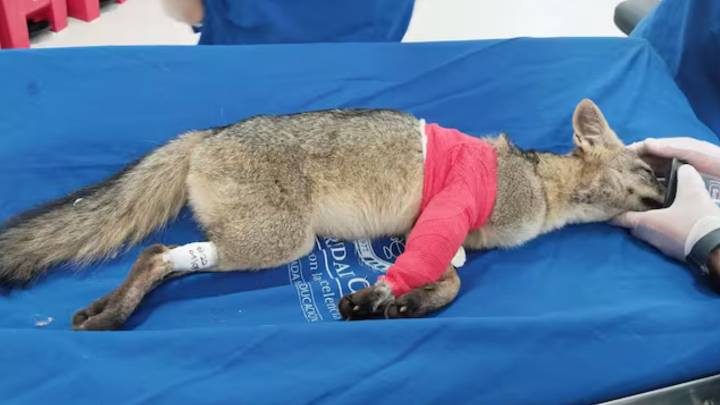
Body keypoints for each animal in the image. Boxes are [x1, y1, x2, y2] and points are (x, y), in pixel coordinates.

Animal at [0, 99, 664, 330]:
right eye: (646, 169)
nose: (672, 183)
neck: (540, 183)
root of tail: (206, 133)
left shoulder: (432, 233)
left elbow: (447, 277)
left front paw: (406, 302)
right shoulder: (448, 212)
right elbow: (443, 278)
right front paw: (381, 298)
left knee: (158, 254)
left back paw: (105, 308)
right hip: (282, 241)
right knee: (158, 253)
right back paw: (117, 312)